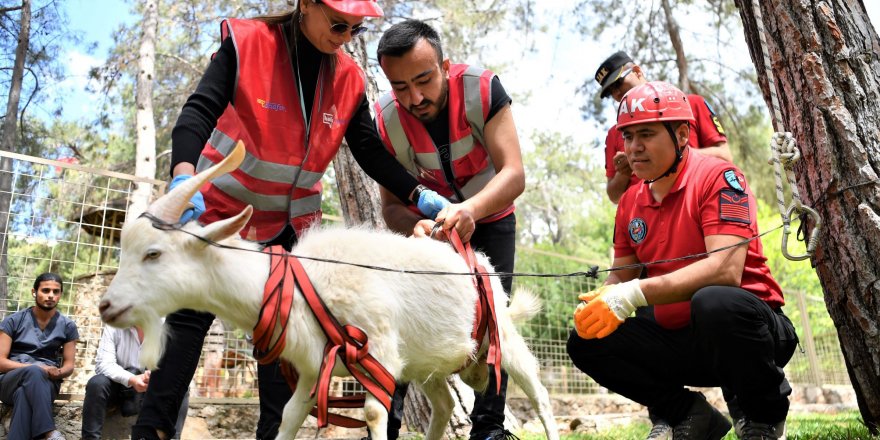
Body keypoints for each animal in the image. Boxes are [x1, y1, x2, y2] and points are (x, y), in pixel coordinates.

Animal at [99, 145, 560, 440]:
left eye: (153, 253)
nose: (106, 305)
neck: (305, 283)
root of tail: (478, 260)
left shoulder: (379, 353)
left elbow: (374, 412)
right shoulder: (312, 368)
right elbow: (289, 416)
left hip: (500, 335)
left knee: (538, 394)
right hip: (424, 360)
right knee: (445, 405)